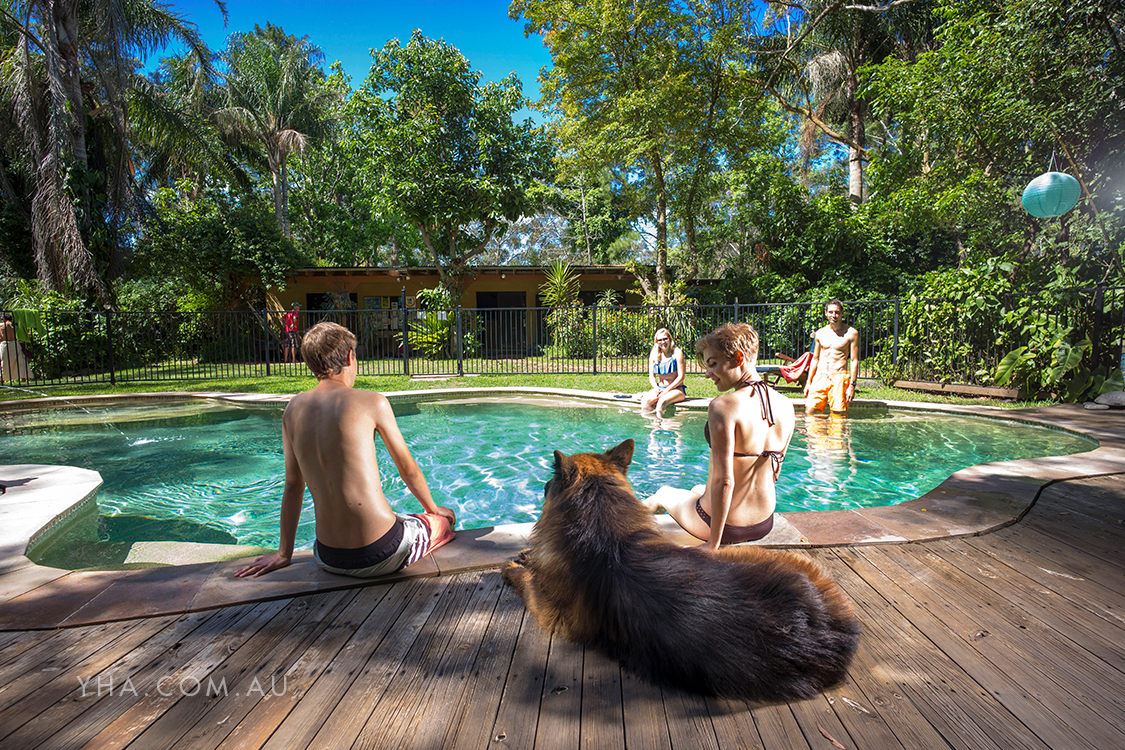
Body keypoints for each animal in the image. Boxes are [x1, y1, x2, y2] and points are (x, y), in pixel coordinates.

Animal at [501, 440, 859, 706]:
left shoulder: (549, 611)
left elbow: (526, 581)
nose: (543, 485)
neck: (601, 526)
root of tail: (829, 637)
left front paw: (514, 567)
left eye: (548, 485)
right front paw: (525, 556)